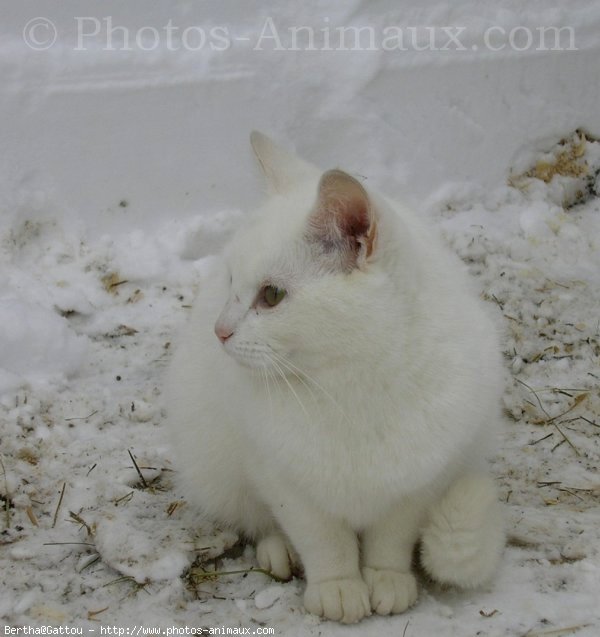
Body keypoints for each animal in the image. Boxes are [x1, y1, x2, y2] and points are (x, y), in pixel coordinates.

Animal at [165, 132, 506, 624]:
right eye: (230, 282)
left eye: (272, 295)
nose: (220, 331)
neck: (350, 383)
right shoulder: (284, 482)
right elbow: (325, 542)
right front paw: (338, 587)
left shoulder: (418, 482)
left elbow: (391, 538)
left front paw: (386, 577)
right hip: (215, 462)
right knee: (257, 519)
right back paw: (278, 550)